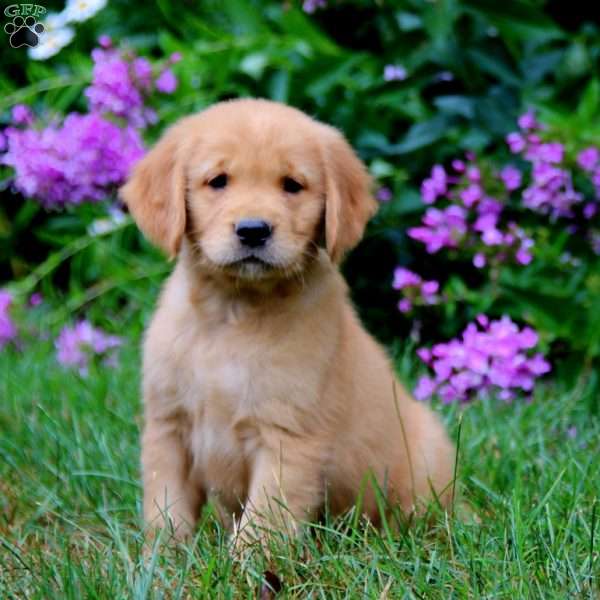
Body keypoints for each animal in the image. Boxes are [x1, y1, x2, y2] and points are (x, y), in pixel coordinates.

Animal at [120, 98, 454, 548]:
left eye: (292, 185)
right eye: (217, 181)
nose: (253, 230)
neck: (233, 313)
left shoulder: (288, 437)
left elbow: (262, 522)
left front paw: (244, 564)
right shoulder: (168, 426)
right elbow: (165, 506)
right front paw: (163, 557)